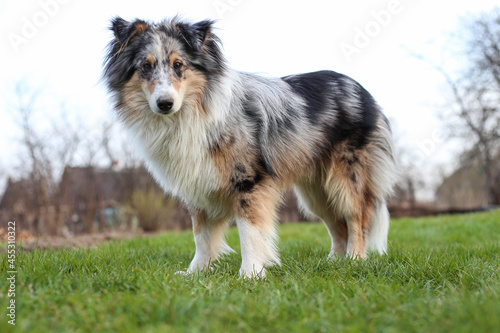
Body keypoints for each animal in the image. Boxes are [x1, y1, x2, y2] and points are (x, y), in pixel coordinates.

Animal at [101, 17, 396, 278]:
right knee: (337, 224)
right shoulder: (198, 184)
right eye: (145, 66)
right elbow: (200, 235)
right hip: (316, 191)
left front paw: (251, 274)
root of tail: (363, 91)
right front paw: (195, 273)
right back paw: (335, 262)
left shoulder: (249, 181)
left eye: (178, 64)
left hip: (346, 179)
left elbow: (249, 230)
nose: (164, 103)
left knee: (356, 218)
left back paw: (355, 259)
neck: (193, 112)